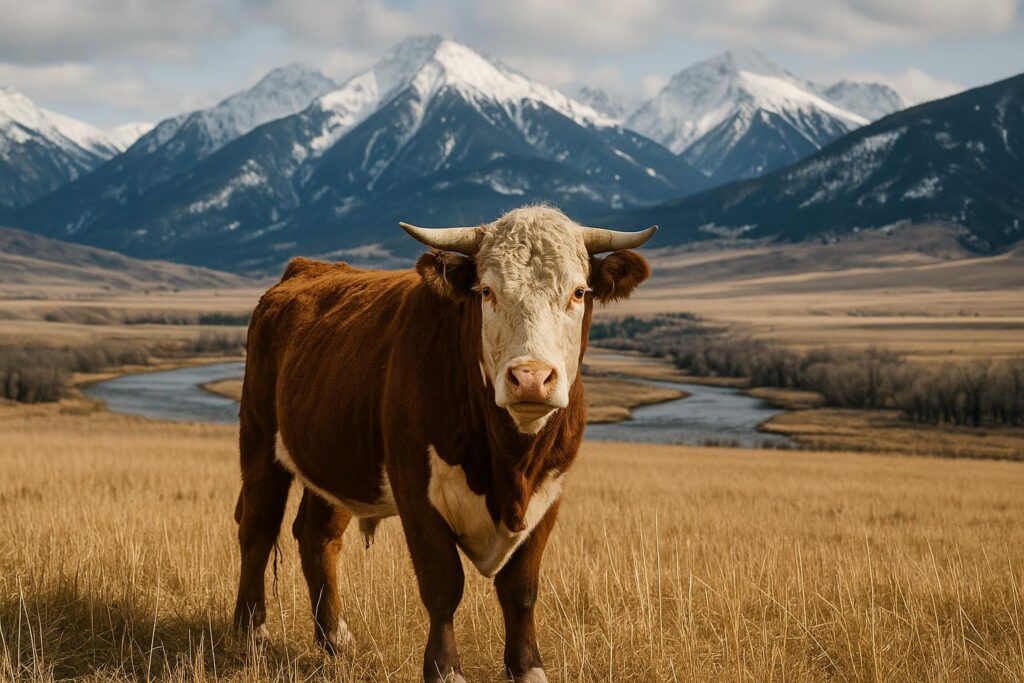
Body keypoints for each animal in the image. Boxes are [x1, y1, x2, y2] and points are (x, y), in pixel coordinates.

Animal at [232, 205, 655, 682]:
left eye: (579, 292)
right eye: (486, 290)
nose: (531, 378)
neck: (508, 463)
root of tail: (306, 269)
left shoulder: (549, 492)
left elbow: (521, 589)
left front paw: (528, 667)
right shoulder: (416, 490)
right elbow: (442, 585)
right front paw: (445, 668)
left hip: (335, 458)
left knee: (317, 535)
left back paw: (336, 639)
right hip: (259, 438)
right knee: (257, 527)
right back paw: (250, 634)